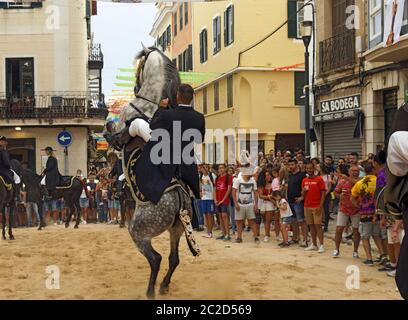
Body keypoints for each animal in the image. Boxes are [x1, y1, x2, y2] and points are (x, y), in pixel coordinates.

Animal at [105, 46, 201, 298]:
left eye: (139, 66)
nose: (135, 87)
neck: (151, 104)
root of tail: (179, 198)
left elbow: (115, 133)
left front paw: (110, 134)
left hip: (139, 231)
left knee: (156, 258)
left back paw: (150, 290)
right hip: (176, 229)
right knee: (173, 259)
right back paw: (164, 285)